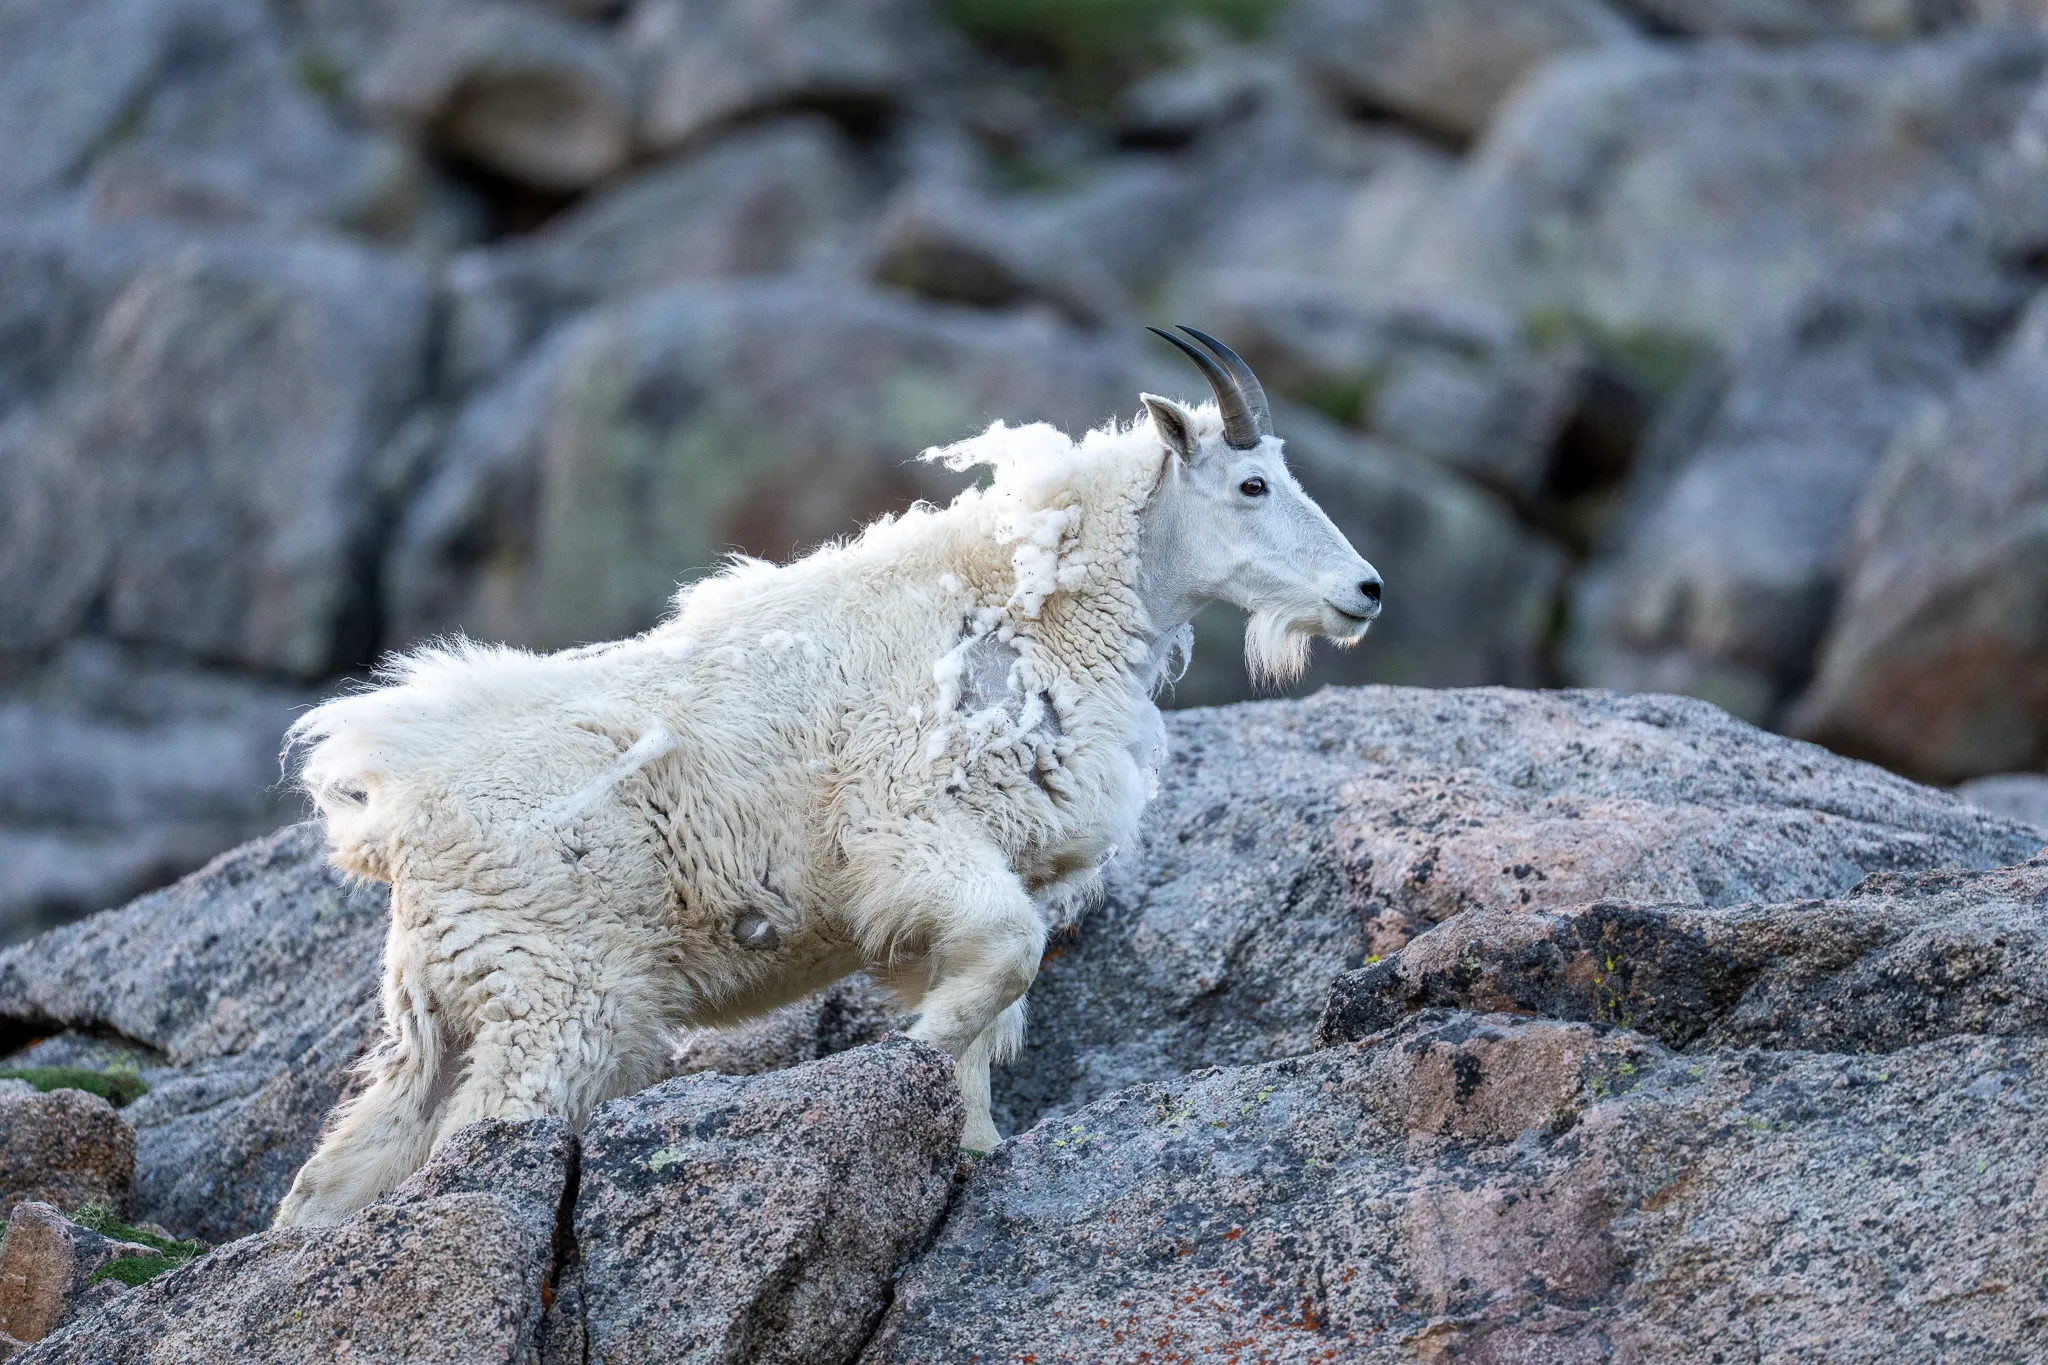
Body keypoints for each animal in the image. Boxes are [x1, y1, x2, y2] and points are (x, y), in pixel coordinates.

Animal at [274, 327, 1382, 1226]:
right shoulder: (908, 832)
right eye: (1251, 486)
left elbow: (991, 1009)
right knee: (489, 1125)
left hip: (447, 1004)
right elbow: (1003, 964)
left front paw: (972, 1144)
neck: (1034, 606)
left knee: (347, 1164)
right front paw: (912, 1059)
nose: (1365, 591)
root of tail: (393, 808)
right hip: (557, 991)